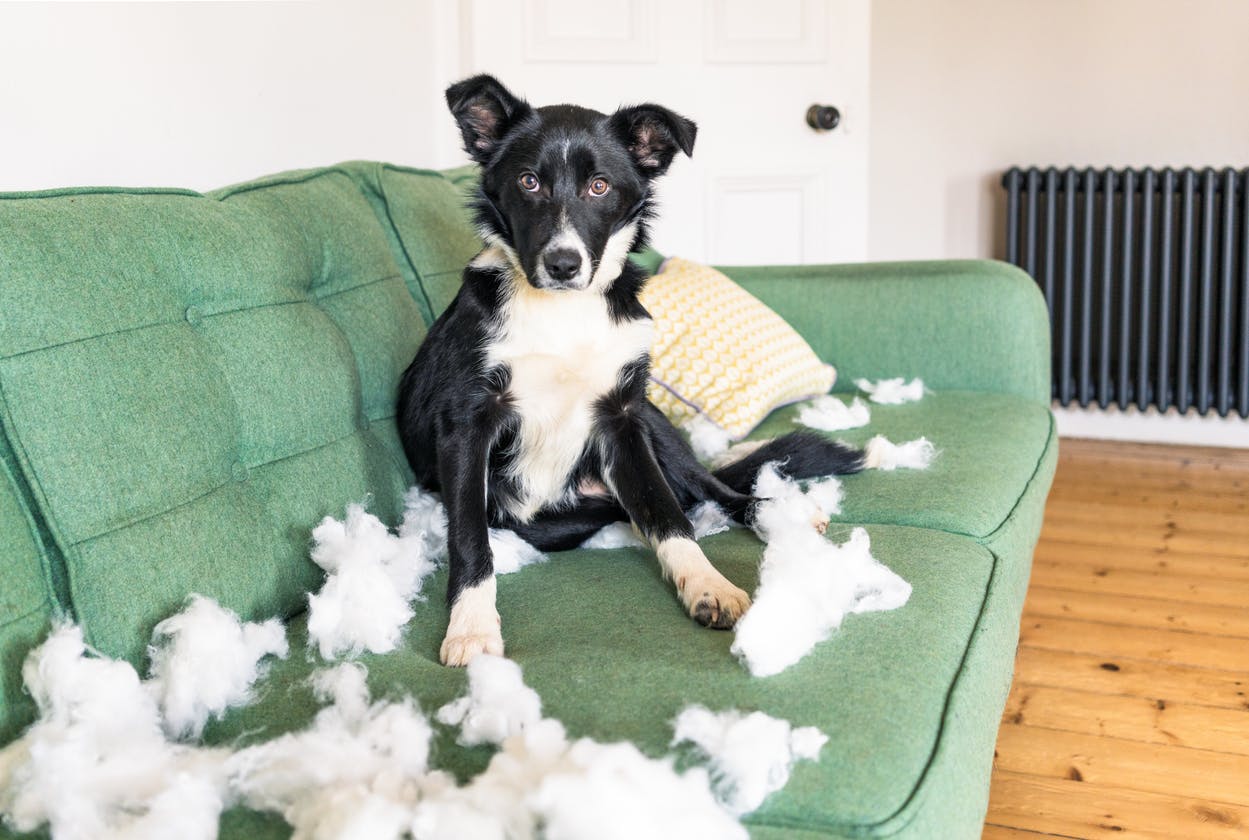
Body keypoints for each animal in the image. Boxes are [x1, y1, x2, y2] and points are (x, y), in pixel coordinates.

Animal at [394, 75, 864, 664]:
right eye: (529, 182)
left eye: (599, 187)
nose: (563, 265)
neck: (564, 312)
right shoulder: (466, 425)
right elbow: (469, 537)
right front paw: (472, 626)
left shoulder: (621, 418)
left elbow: (666, 515)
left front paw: (707, 585)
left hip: (654, 420)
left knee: (710, 491)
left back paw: (780, 514)